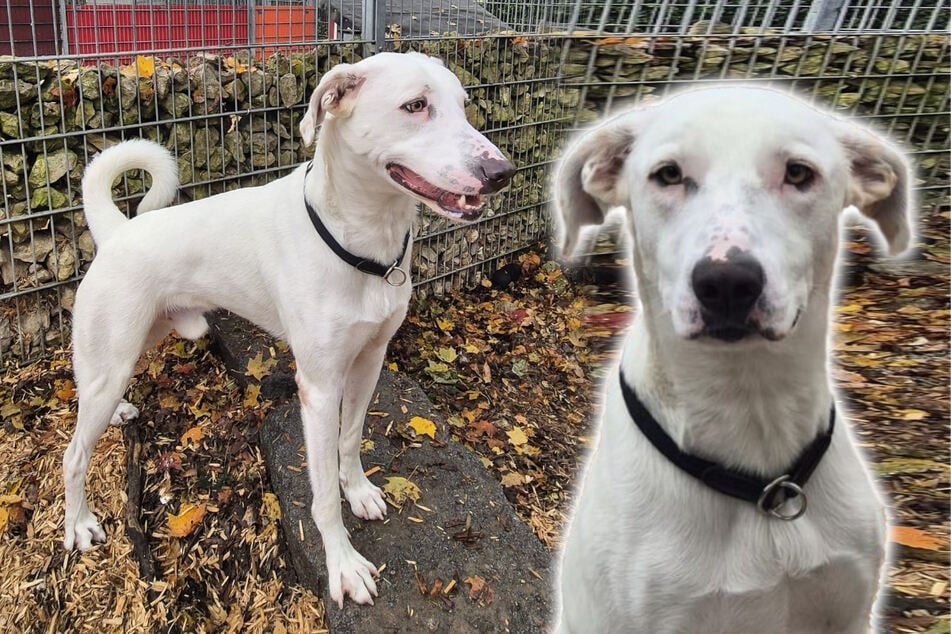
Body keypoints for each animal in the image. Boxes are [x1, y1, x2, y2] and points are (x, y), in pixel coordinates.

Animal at [62, 51, 512, 604]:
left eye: (464, 105)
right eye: (415, 106)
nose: (502, 172)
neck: (363, 241)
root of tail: (117, 231)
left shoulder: (368, 362)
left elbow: (350, 440)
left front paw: (358, 491)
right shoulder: (318, 389)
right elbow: (323, 498)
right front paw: (343, 565)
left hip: (133, 345)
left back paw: (121, 412)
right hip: (111, 358)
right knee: (74, 452)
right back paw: (78, 523)